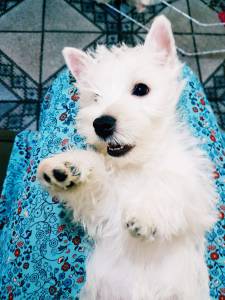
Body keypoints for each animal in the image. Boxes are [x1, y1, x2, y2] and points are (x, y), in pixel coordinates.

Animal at [37, 15, 217, 300]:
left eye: (141, 89)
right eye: (95, 97)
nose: (102, 124)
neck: (137, 164)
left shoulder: (199, 199)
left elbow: (172, 185)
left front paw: (147, 214)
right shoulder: (105, 212)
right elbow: (98, 187)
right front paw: (69, 167)